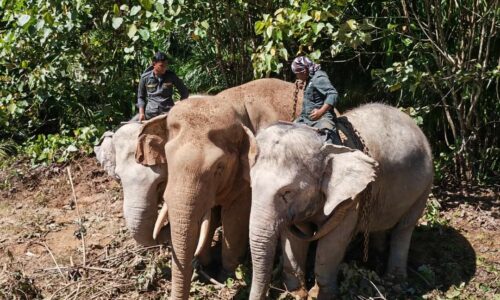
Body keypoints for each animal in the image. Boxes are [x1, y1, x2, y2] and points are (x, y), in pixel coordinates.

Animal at [135, 78, 302, 300]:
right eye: (168, 159)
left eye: (219, 168)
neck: (228, 102)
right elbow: (210, 215)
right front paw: (204, 264)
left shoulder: (245, 179)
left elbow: (235, 218)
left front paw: (226, 274)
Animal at [246, 103, 434, 300]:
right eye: (251, 185)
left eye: (287, 192)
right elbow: (294, 237)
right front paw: (295, 293)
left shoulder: (351, 200)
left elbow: (332, 242)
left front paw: (319, 295)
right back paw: (375, 262)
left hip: (425, 186)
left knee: (404, 228)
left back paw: (394, 280)